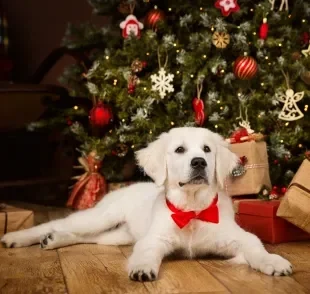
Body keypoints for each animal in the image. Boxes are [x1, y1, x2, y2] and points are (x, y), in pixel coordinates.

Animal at [0, 128, 290, 280]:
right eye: (180, 150)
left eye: (207, 150)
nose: (199, 163)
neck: (191, 210)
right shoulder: (153, 238)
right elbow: (147, 253)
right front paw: (142, 269)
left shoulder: (238, 236)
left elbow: (256, 247)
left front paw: (273, 261)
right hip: (100, 217)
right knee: (58, 224)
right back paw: (17, 237)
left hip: (119, 235)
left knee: (88, 237)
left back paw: (54, 240)